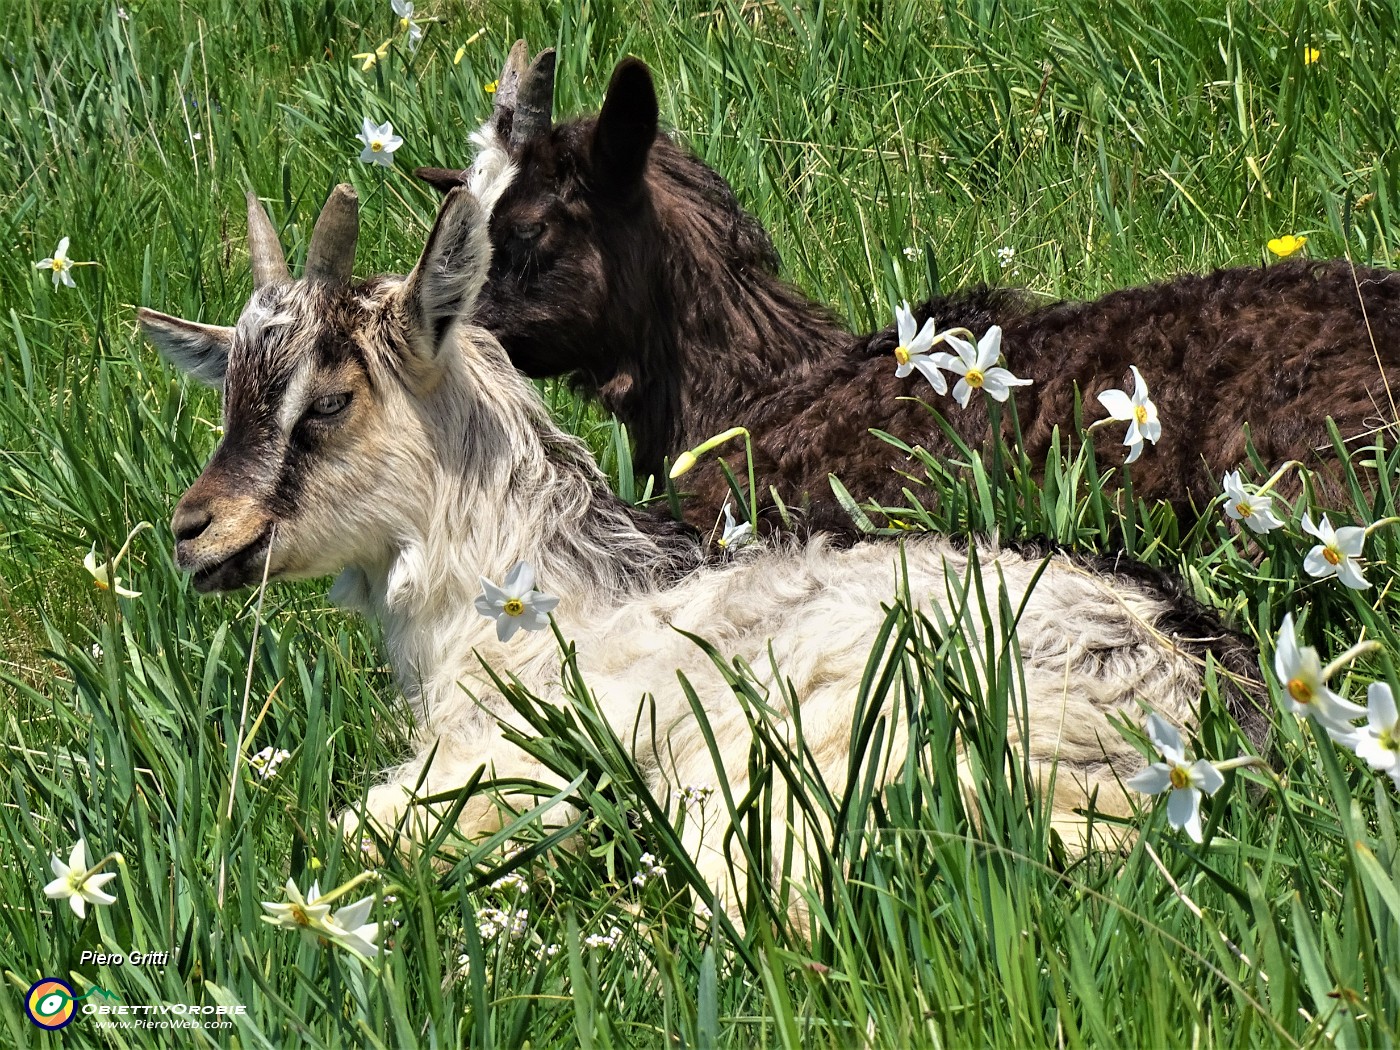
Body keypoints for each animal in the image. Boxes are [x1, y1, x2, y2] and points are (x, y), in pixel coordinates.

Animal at [139, 184, 1260, 918]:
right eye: (227, 393)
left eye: (327, 402)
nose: (193, 532)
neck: (531, 599)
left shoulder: (500, 761)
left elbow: (348, 828)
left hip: (810, 778)